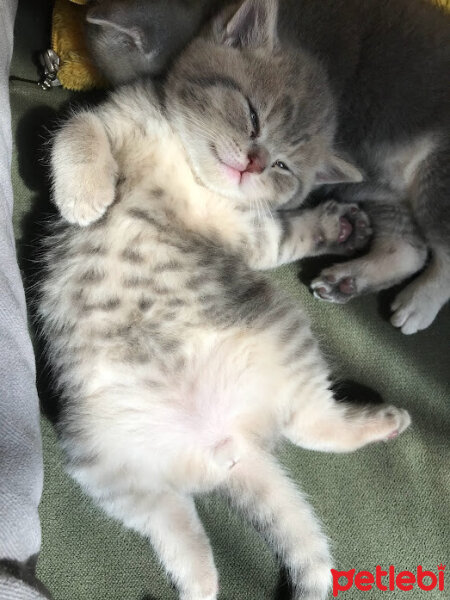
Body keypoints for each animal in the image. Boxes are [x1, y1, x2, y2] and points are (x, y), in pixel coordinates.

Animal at [39, 2, 412, 596]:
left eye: (284, 165)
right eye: (253, 117)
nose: (255, 164)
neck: (188, 167)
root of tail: (224, 444)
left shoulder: (254, 236)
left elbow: (287, 236)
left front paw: (334, 226)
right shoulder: (116, 116)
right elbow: (78, 128)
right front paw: (84, 194)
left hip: (282, 344)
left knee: (311, 427)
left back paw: (381, 422)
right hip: (101, 459)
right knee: (172, 521)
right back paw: (199, 581)